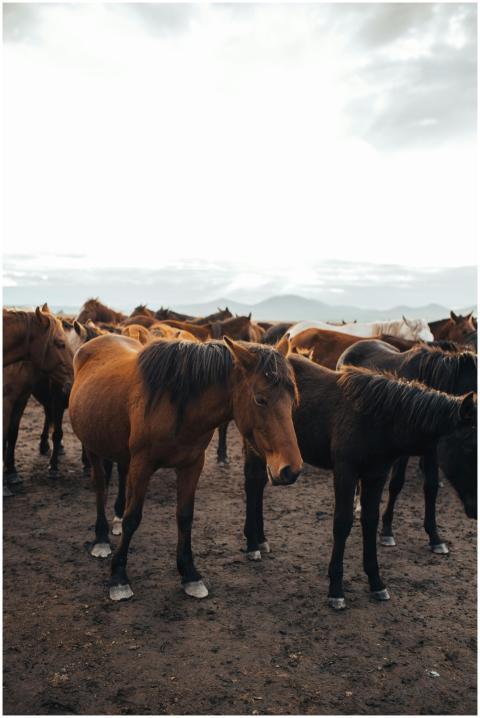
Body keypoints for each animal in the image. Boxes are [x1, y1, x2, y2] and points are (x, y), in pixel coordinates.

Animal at [69, 334, 302, 602]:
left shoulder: (192, 464)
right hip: (92, 447)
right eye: (260, 399)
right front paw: (118, 577)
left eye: (292, 400)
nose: (291, 469)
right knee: (100, 487)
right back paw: (101, 539)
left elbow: (185, 517)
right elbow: (133, 518)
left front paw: (190, 574)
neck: (177, 405)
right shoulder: (142, 464)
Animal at [336, 339, 477, 552]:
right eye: (469, 446)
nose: (475, 509)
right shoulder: (403, 450)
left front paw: (435, 538)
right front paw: (387, 531)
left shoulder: (432, 449)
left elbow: (431, 487)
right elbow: (396, 484)